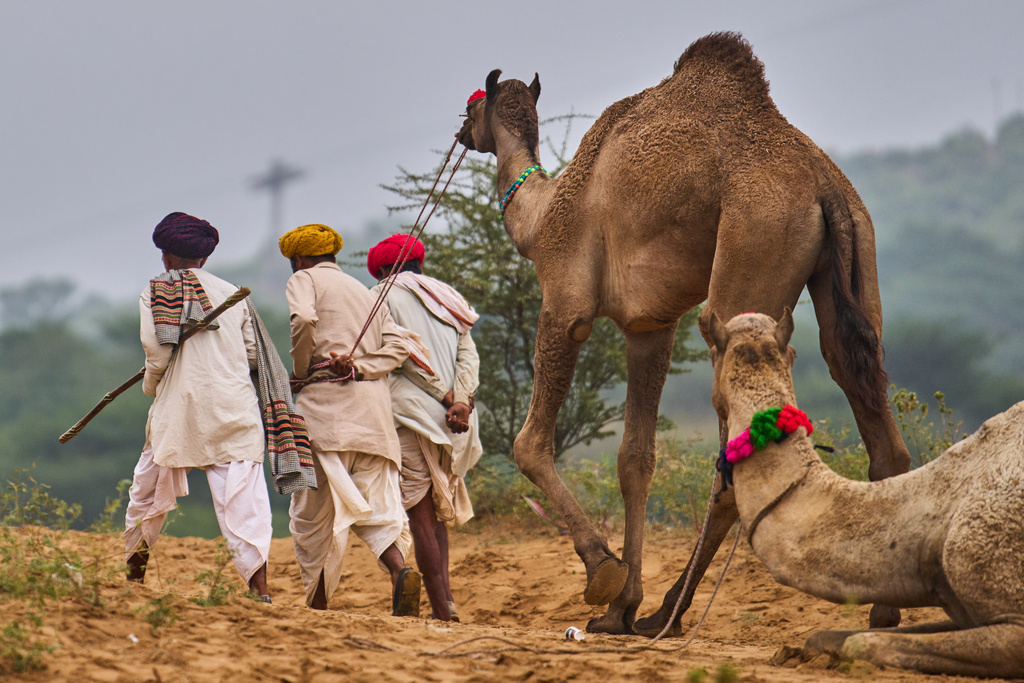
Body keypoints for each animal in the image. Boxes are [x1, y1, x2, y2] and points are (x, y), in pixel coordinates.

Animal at [456, 32, 910, 635]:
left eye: (471, 106)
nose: (460, 132)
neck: (539, 215)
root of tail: (824, 187)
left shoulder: (565, 301)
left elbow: (529, 444)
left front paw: (604, 574)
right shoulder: (650, 325)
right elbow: (635, 460)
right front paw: (622, 606)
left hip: (752, 247)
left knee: (736, 446)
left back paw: (669, 612)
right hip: (858, 252)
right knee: (863, 393)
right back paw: (881, 610)